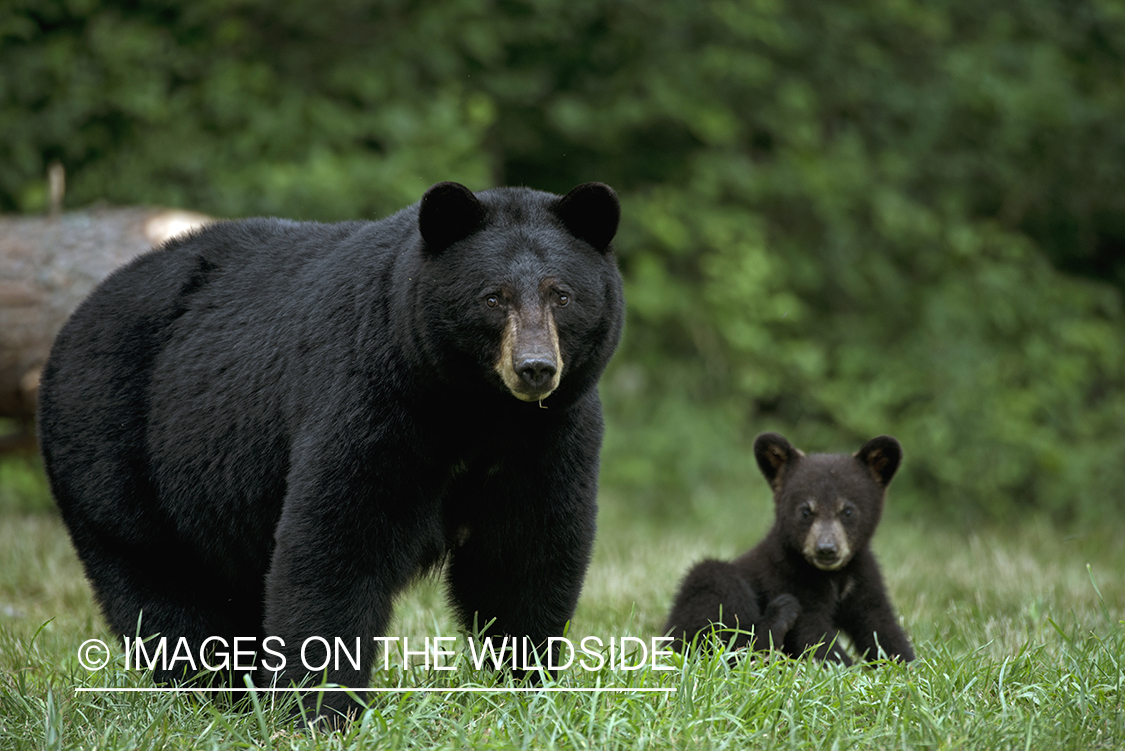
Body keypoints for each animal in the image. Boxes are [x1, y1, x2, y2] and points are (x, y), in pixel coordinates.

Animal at [37, 179, 625, 719]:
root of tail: (75, 320)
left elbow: (524, 554)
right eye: (493, 296)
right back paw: (214, 692)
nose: (535, 368)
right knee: (157, 579)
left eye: (562, 295)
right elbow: (337, 543)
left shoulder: (548, 436)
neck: (475, 411)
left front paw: (526, 687)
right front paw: (320, 710)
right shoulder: (373, 400)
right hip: (116, 441)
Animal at [666, 433, 913, 661]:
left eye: (848, 510)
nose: (826, 549)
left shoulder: (863, 577)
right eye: (805, 511)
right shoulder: (787, 577)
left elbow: (880, 626)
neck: (833, 576)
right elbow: (813, 635)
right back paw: (777, 620)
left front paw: (906, 664)